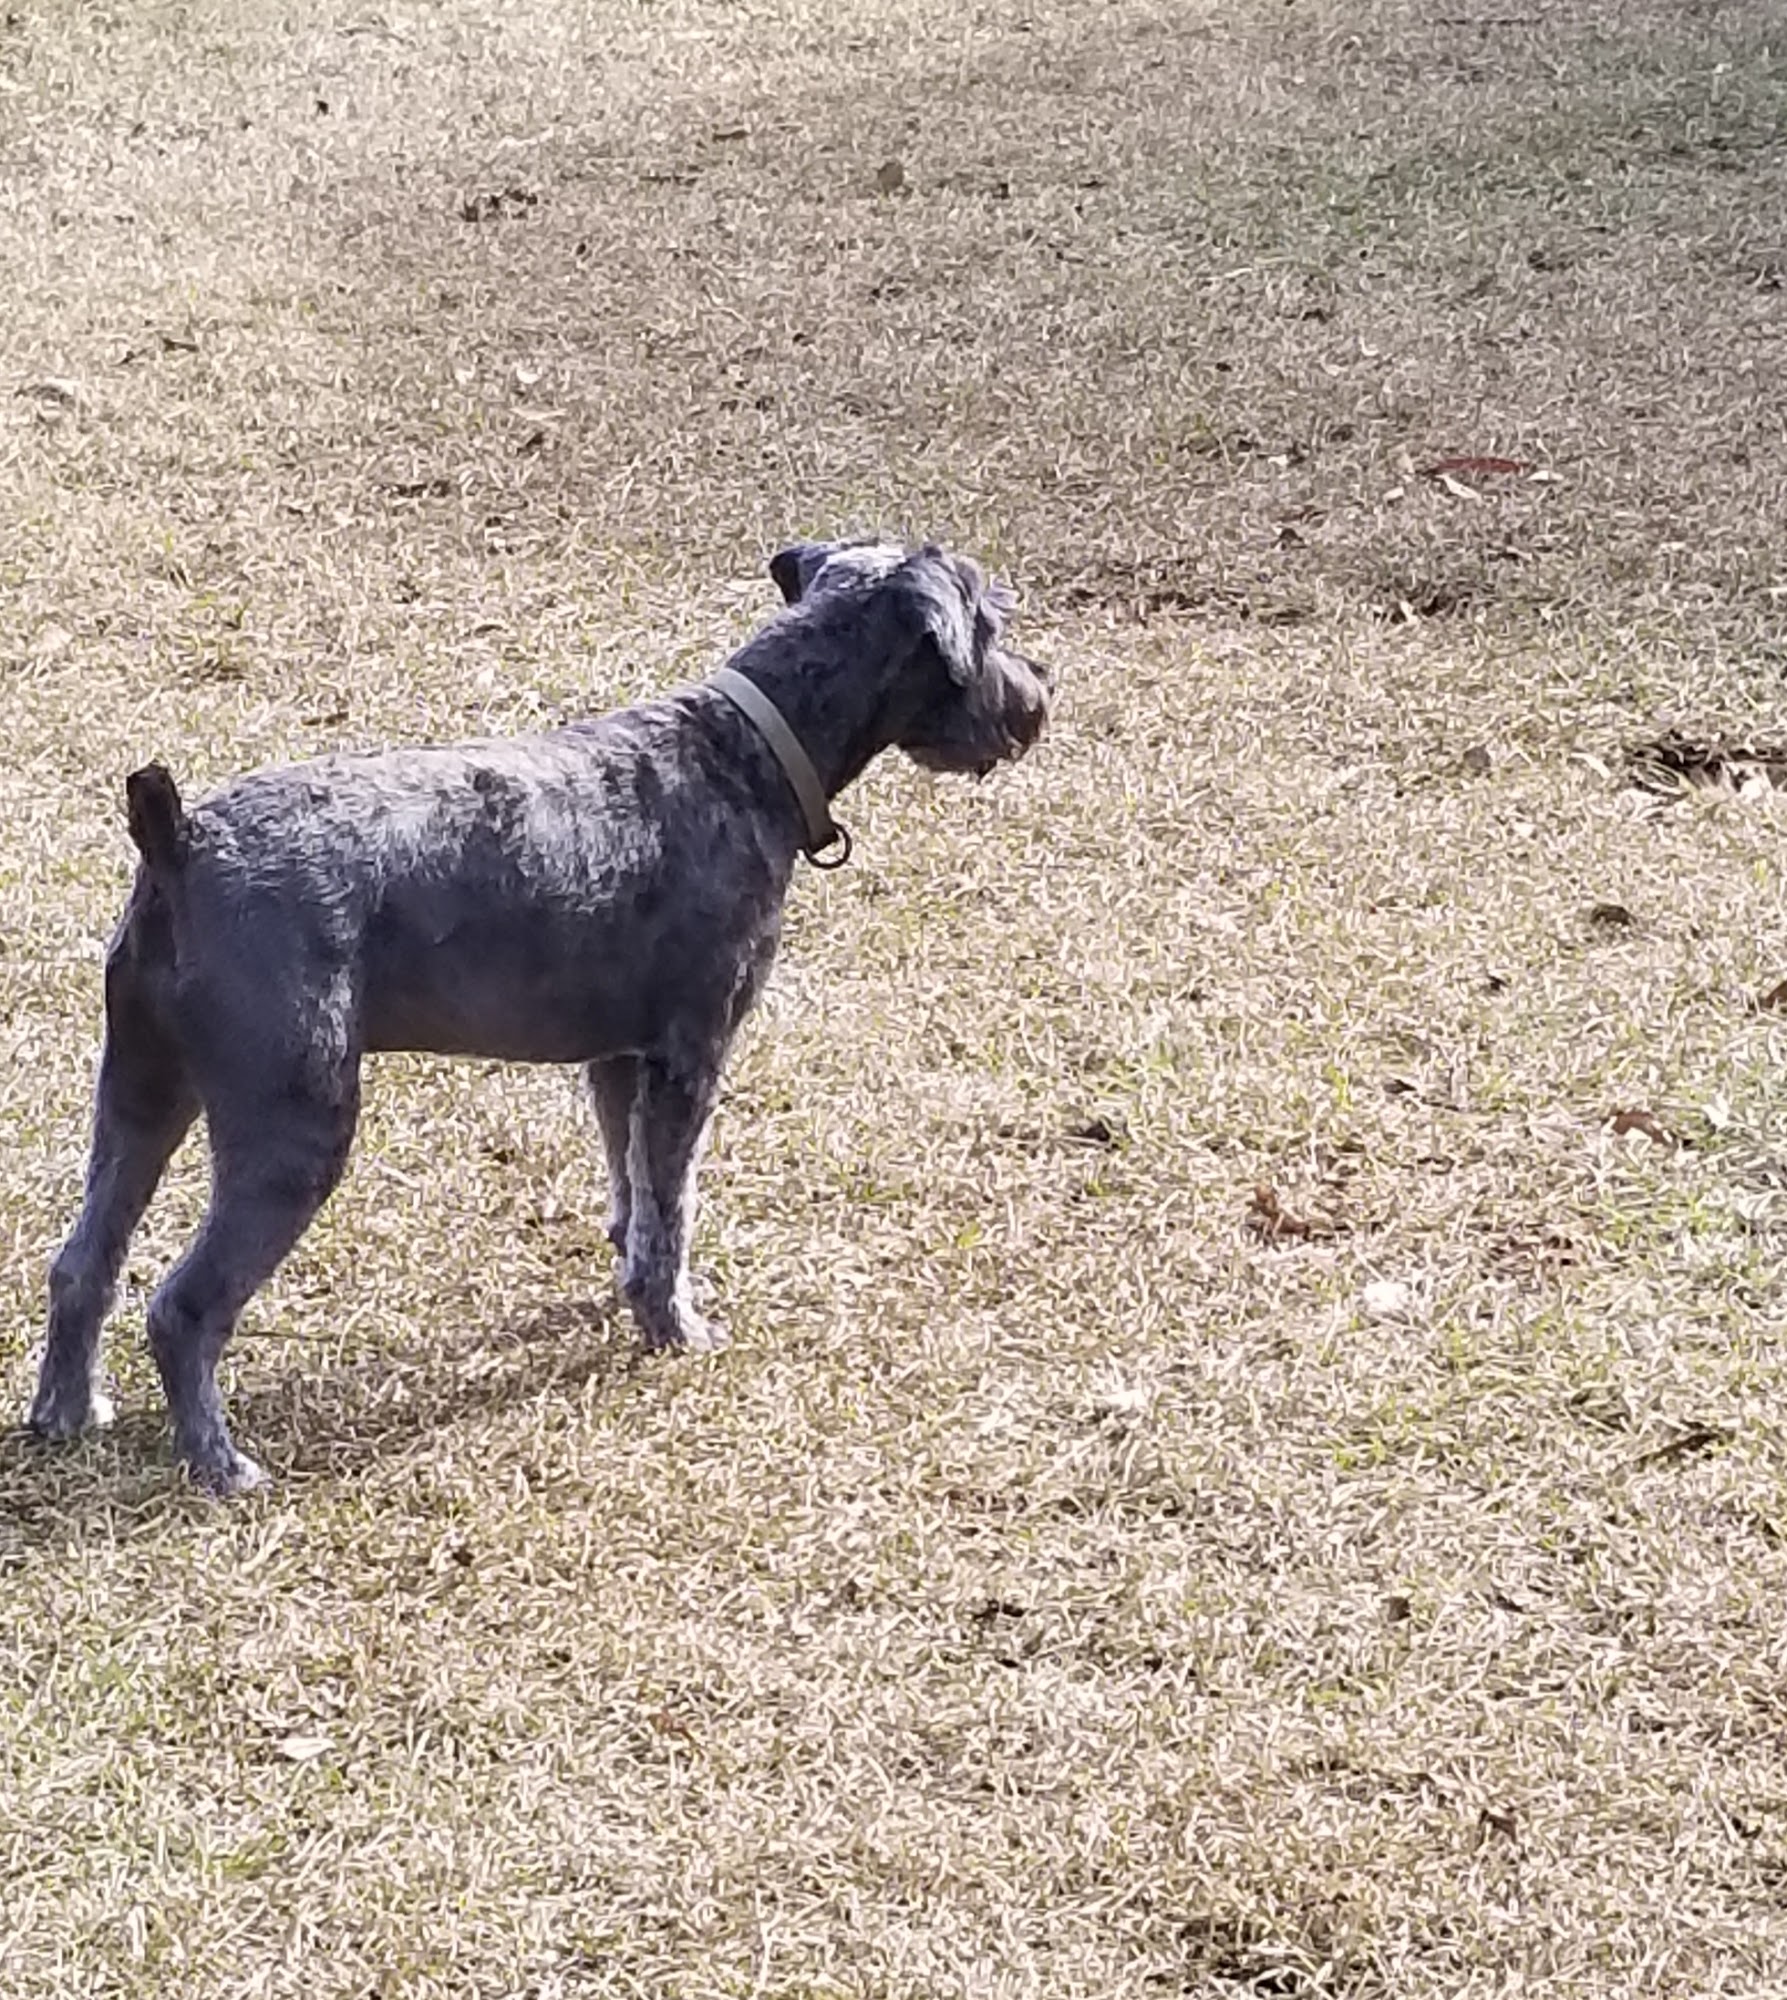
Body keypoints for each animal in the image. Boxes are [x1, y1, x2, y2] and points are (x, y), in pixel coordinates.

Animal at [27, 540, 1055, 1496]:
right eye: (991, 621)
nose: (1038, 696)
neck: (747, 749)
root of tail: (180, 841)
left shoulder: (618, 1060)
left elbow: (632, 1191)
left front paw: (635, 1283)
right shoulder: (689, 1057)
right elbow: (672, 1206)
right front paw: (673, 1325)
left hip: (142, 1097)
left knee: (82, 1263)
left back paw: (66, 1413)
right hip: (291, 1134)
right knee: (184, 1306)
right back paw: (219, 1464)